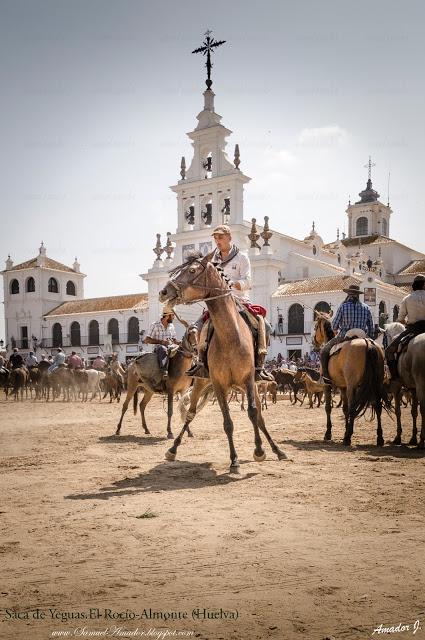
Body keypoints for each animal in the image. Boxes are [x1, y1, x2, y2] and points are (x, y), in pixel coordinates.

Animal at [159, 250, 288, 470]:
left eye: (192, 270)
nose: (164, 292)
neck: (230, 337)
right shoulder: (219, 385)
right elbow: (227, 422)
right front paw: (234, 460)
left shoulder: (248, 380)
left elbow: (253, 413)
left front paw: (259, 451)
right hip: (201, 382)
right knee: (191, 412)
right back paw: (173, 448)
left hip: (250, 386)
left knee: (260, 418)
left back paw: (276, 450)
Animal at [312, 312, 390, 444]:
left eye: (316, 326)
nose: (314, 342)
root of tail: (367, 343)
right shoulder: (343, 387)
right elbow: (344, 408)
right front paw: (345, 430)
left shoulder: (327, 386)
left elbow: (328, 408)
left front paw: (328, 433)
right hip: (376, 384)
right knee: (377, 406)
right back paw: (379, 438)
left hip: (352, 386)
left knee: (353, 407)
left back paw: (348, 438)